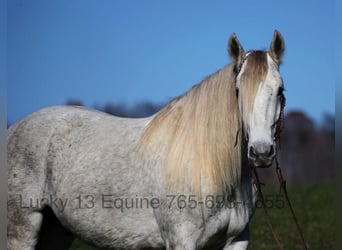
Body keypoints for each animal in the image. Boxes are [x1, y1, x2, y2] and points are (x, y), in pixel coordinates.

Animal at [8, 31, 286, 250]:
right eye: (238, 90)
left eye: (280, 90)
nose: (261, 152)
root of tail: (13, 130)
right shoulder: (181, 241)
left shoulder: (236, 240)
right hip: (23, 226)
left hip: (55, 230)